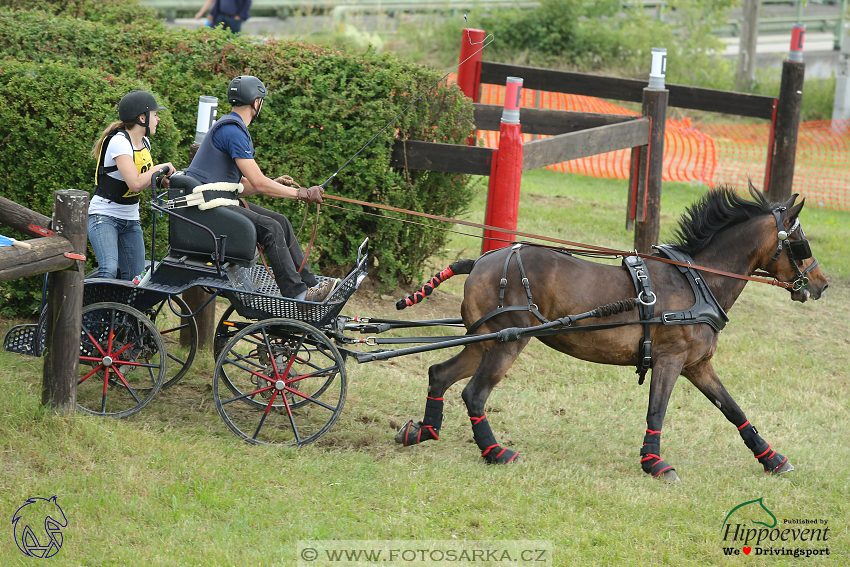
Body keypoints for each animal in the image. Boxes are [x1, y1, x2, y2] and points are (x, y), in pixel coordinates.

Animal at [394, 189, 824, 482]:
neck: (698, 281)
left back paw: (424, 430)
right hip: (508, 341)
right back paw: (496, 452)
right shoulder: (670, 359)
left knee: (440, 374)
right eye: (799, 242)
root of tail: (480, 261)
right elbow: (657, 409)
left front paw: (771, 458)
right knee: (474, 393)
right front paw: (655, 462)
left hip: (483, 341)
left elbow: (733, 409)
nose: (821, 284)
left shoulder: (698, 365)